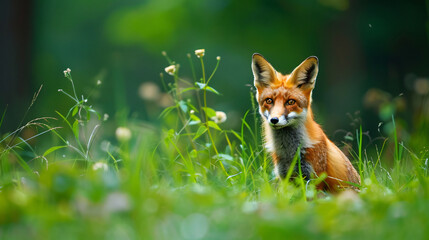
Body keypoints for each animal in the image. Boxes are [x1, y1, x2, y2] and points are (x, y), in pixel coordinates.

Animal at [252, 53, 360, 192]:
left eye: (290, 102)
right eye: (269, 100)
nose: (274, 120)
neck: (289, 153)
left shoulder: (315, 180)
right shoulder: (285, 178)